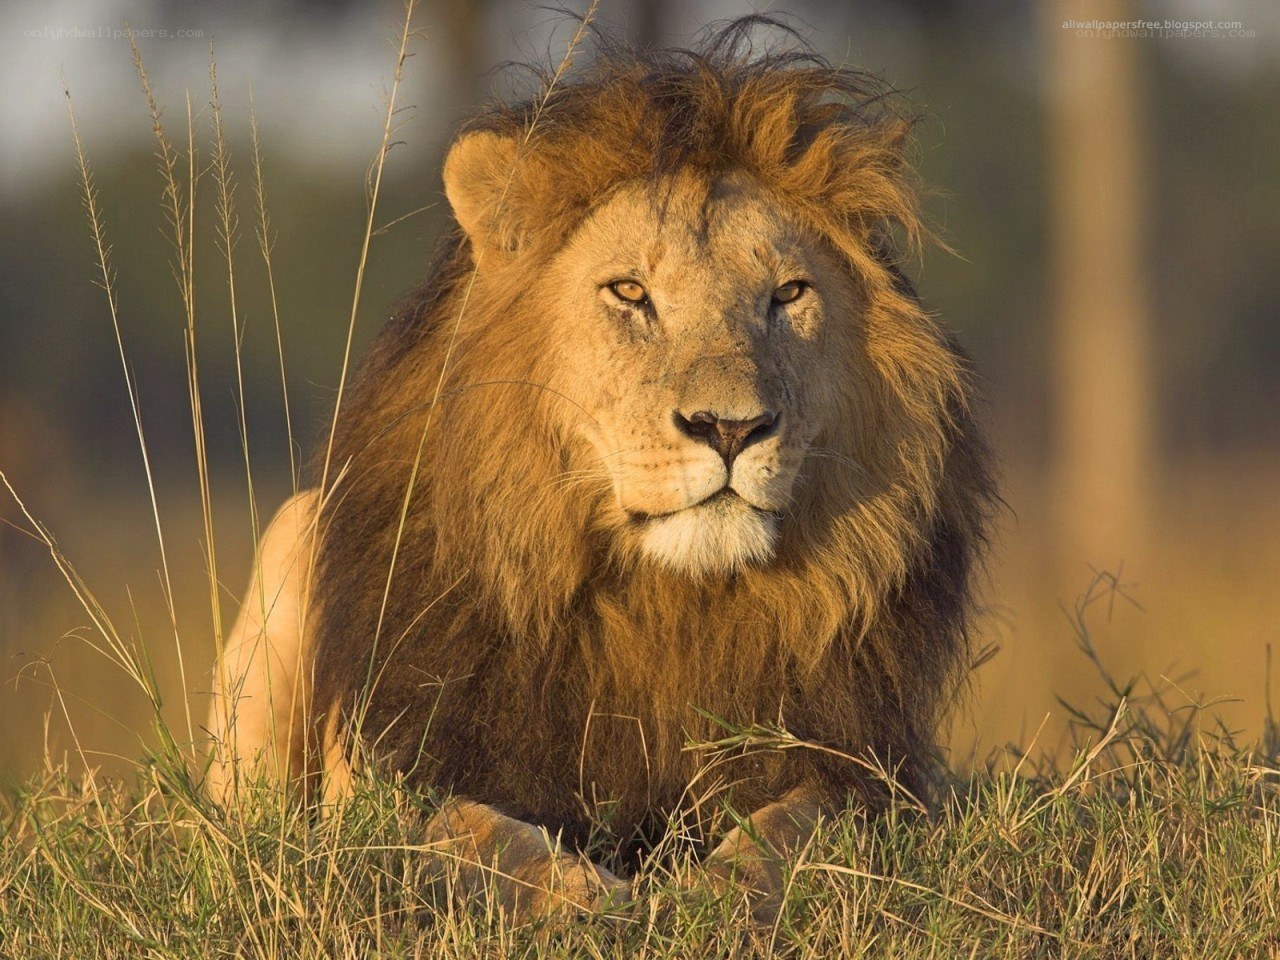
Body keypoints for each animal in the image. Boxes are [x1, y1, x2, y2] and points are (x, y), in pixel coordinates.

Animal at [207, 21, 995, 923]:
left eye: (789, 294)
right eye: (630, 292)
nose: (731, 427)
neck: (667, 606)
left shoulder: (864, 768)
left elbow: (796, 826)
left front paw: (715, 894)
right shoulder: (400, 770)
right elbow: (477, 834)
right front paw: (586, 900)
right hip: (292, 539)